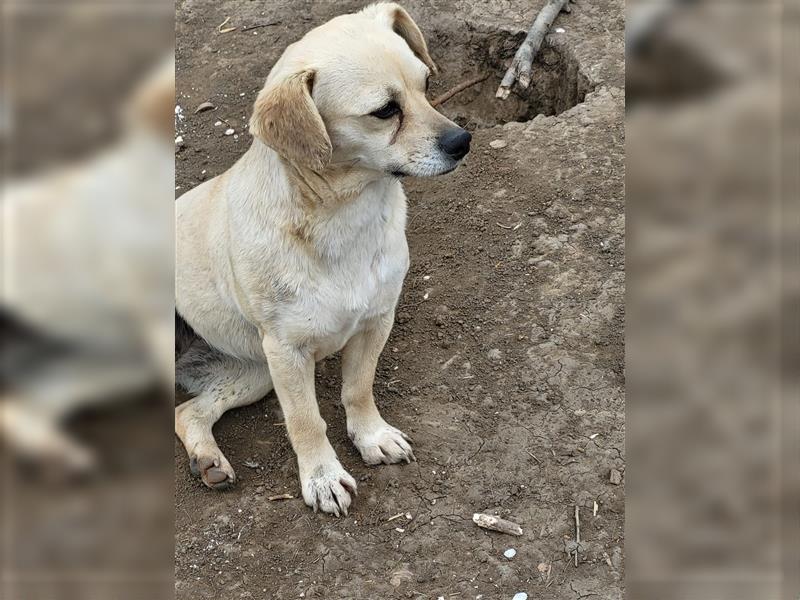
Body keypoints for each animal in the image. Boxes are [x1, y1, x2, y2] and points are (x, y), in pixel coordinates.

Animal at [177, 1, 468, 516]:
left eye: (426, 84)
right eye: (385, 111)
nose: (462, 141)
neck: (345, 218)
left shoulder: (376, 321)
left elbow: (358, 389)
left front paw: (371, 436)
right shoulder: (286, 352)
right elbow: (306, 420)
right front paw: (322, 477)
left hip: (252, 373)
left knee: (186, 410)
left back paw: (207, 459)